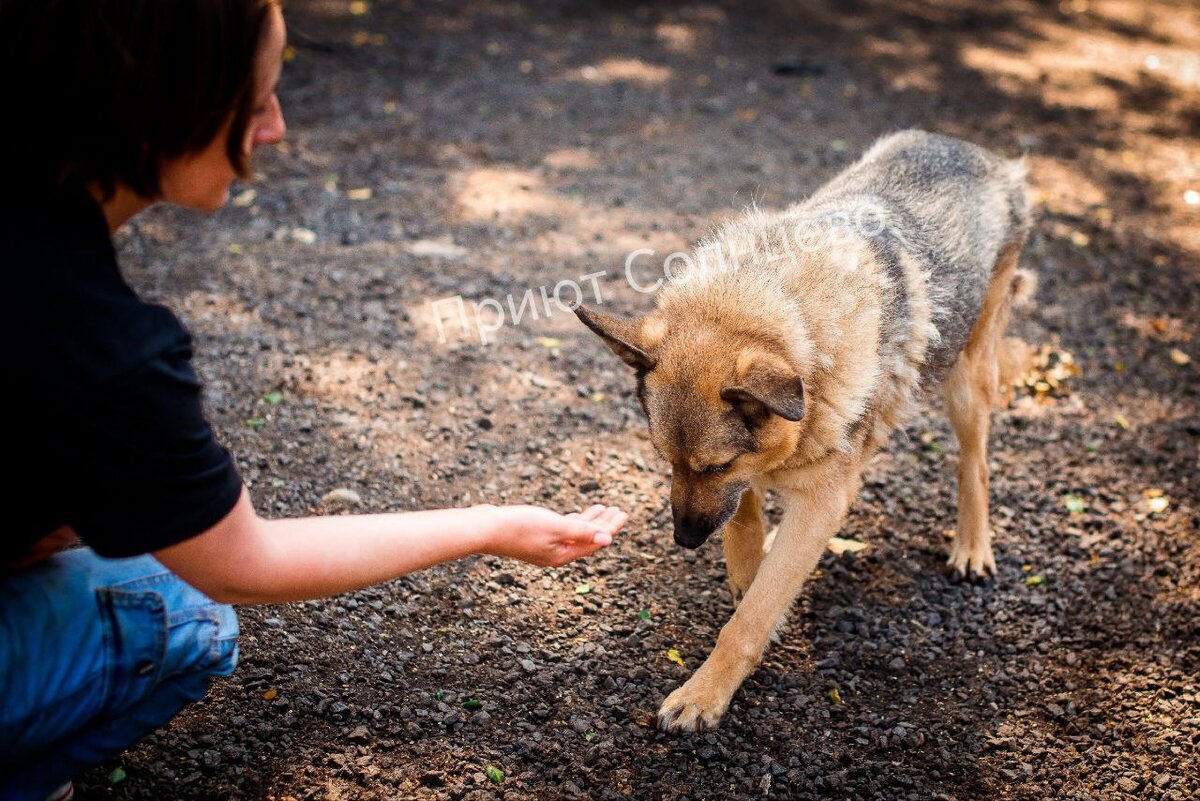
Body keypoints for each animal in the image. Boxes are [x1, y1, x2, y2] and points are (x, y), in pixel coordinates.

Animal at [576, 130, 1036, 733]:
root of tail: (980, 154)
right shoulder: (747, 482)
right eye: (665, 461)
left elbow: (750, 617)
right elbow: (745, 537)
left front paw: (705, 693)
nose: (685, 541)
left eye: (714, 465)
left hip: (967, 379)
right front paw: (749, 570)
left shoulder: (808, 496)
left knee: (974, 463)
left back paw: (972, 546)